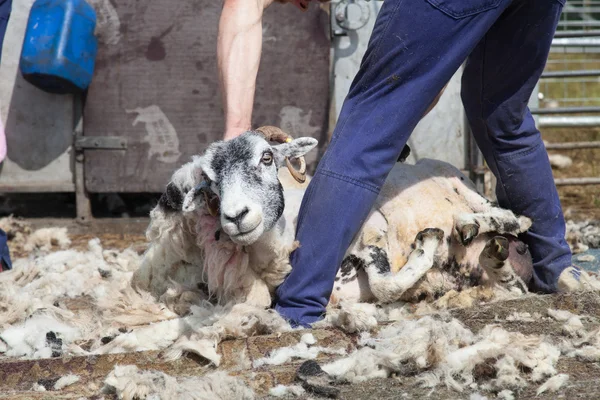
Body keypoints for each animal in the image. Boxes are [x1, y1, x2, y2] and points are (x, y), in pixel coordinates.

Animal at [136, 126, 536, 310]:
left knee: (506, 216)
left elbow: (384, 282)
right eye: (211, 182)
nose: (237, 216)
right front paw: (427, 261)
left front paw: (427, 243)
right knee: (512, 280)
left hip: (461, 183)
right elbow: (383, 286)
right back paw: (493, 253)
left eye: (267, 157)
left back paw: (475, 224)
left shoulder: (372, 226)